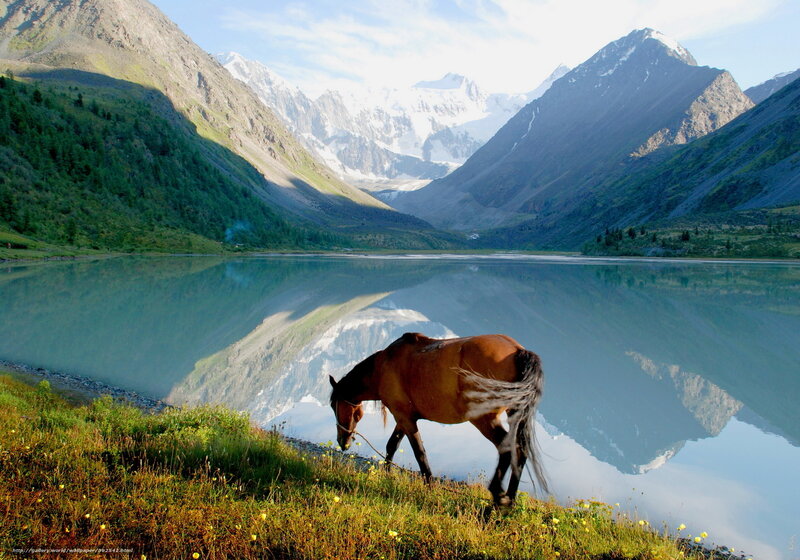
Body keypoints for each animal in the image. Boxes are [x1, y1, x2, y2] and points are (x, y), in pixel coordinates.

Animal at [329, 332, 547, 507]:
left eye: (333, 405)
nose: (343, 442)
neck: (382, 367)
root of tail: (518, 351)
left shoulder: (405, 418)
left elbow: (419, 453)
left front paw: (428, 487)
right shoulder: (403, 418)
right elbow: (392, 445)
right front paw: (387, 474)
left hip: (484, 419)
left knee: (506, 448)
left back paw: (496, 499)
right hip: (513, 414)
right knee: (520, 450)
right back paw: (509, 501)